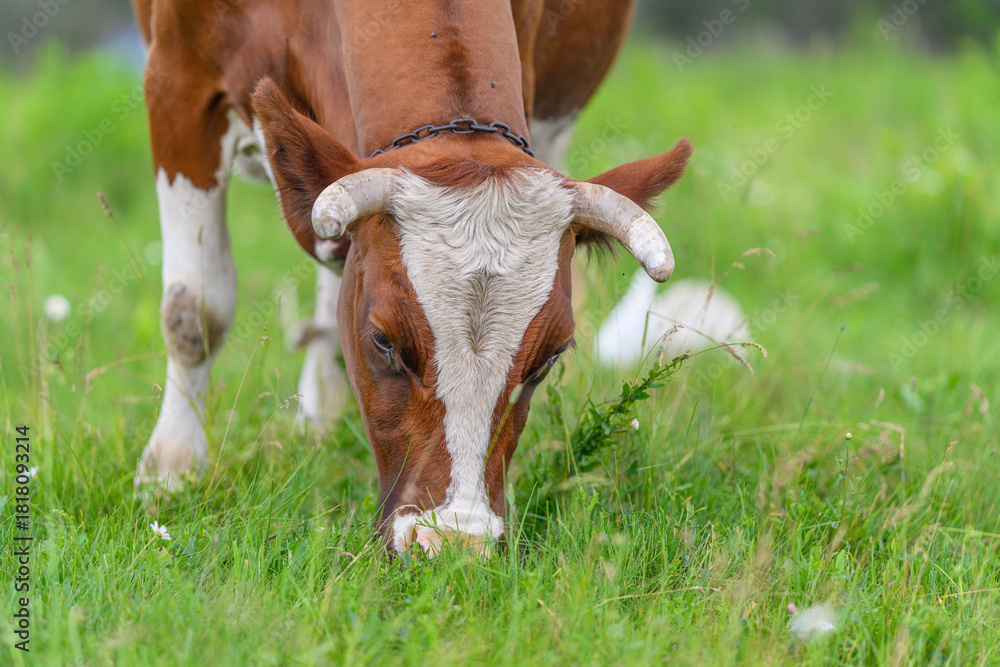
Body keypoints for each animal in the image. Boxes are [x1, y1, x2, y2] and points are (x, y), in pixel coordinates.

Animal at [131, 0, 691, 554]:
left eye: (550, 356)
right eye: (383, 340)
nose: (455, 543)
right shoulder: (178, 79)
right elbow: (195, 312)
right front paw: (171, 471)